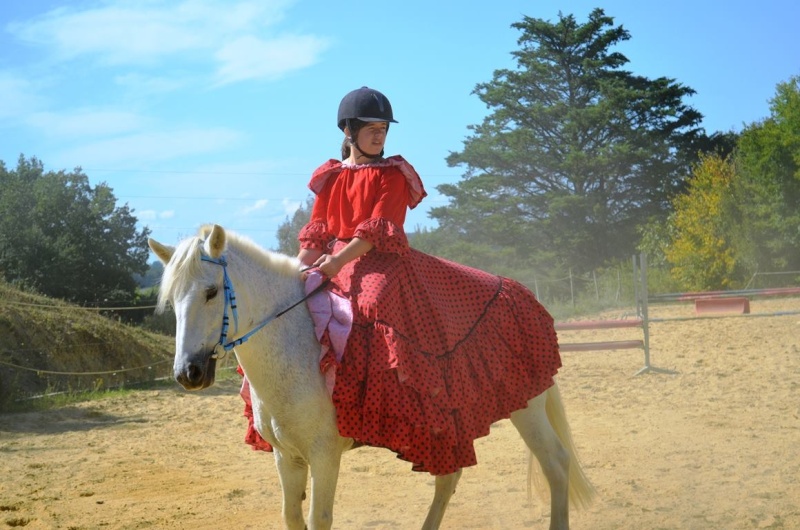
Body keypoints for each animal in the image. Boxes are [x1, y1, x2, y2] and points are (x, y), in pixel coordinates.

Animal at [148, 223, 592, 528]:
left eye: (211, 292)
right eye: (172, 299)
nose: (188, 372)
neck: (296, 343)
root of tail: (518, 291)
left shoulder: (325, 455)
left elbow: (319, 519)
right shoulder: (286, 457)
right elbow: (292, 518)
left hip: (526, 406)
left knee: (556, 464)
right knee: (449, 479)